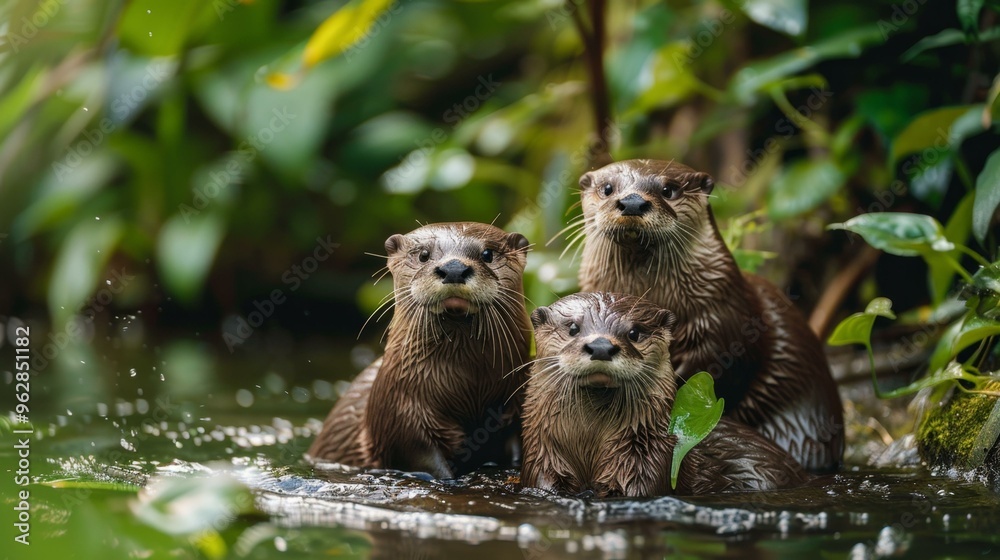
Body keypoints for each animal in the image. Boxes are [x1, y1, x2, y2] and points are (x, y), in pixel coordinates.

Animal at [307, 222, 532, 478]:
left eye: (487, 254)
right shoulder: (401, 415)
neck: (470, 388)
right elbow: (422, 455)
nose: (454, 268)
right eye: (423, 254)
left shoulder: (517, 402)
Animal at [520, 292, 808, 497]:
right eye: (572, 328)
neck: (589, 444)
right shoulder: (543, 457)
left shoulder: (645, 464)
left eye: (634, 332)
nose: (601, 346)